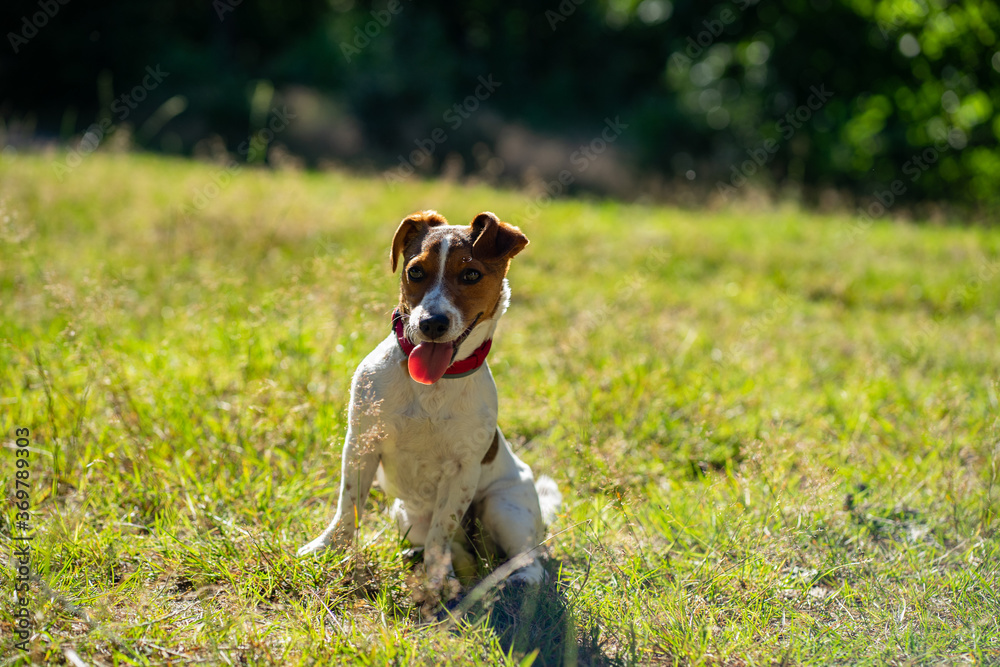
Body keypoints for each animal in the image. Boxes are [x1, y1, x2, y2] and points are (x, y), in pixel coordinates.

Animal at [296, 211, 564, 596]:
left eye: (471, 275)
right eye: (415, 271)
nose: (431, 323)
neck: (433, 385)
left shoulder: (462, 471)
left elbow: (443, 530)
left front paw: (439, 581)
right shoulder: (361, 444)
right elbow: (348, 507)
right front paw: (327, 548)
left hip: (503, 506)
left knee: (527, 558)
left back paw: (515, 580)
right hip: (405, 513)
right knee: (453, 548)